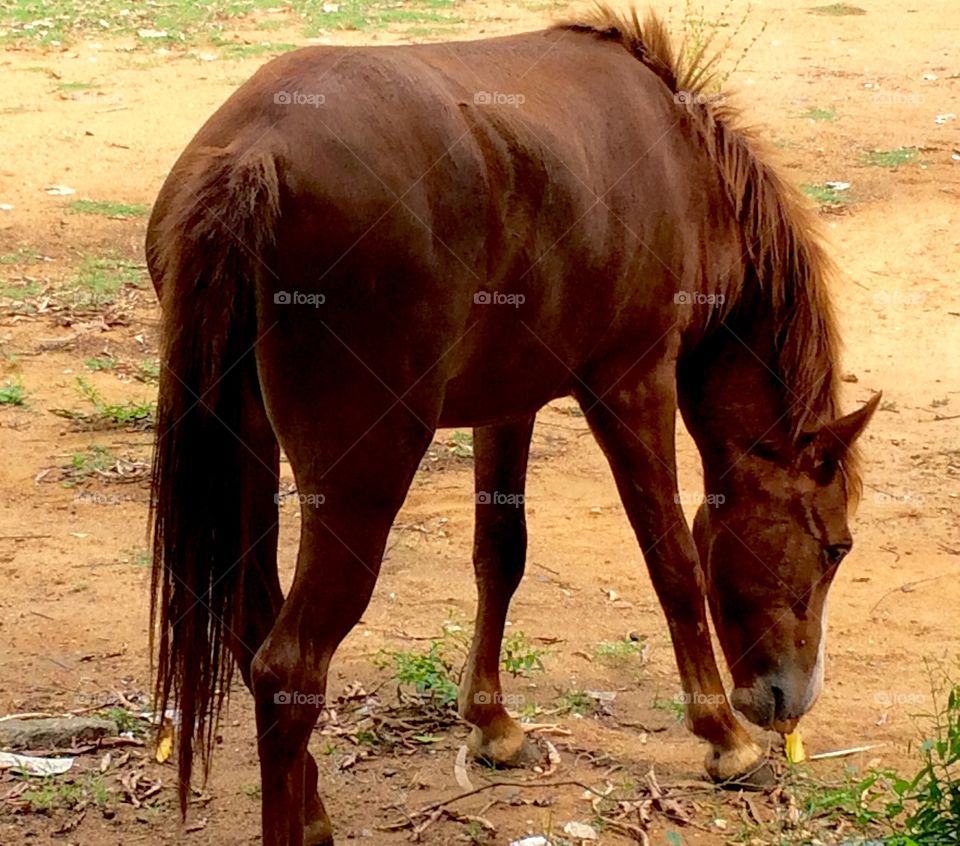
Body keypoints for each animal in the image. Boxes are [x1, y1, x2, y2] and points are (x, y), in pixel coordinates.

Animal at [146, 7, 879, 844]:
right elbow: (673, 562)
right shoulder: (631, 385)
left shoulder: (509, 404)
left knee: (252, 631)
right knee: (286, 669)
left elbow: (500, 555)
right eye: (836, 547)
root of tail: (253, 155)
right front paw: (724, 739)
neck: (688, 170)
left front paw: (492, 724)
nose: (793, 701)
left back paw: (316, 812)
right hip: (366, 474)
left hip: (246, 452)